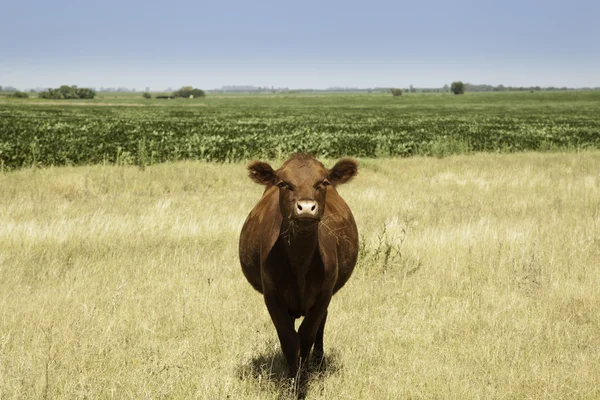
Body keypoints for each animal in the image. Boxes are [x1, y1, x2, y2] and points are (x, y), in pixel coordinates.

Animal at [238, 153, 358, 378]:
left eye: (323, 182)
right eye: (284, 183)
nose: (306, 207)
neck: (300, 262)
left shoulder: (323, 295)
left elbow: (306, 336)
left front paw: (303, 377)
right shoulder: (272, 296)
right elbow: (288, 339)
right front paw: (292, 378)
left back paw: (318, 359)